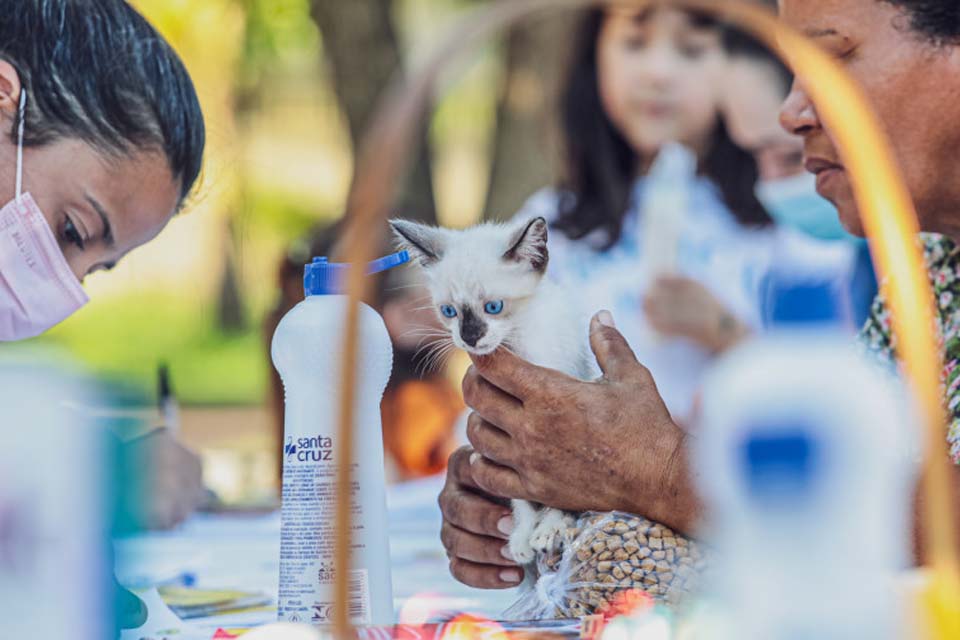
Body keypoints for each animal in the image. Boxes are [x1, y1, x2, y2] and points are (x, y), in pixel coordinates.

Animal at [390, 216, 592, 564]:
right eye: (449, 312)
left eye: (494, 307)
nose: (469, 337)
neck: (518, 345)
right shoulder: (498, 439)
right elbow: (520, 495)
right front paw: (521, 535)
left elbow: (558, 491)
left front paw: (549, 529)